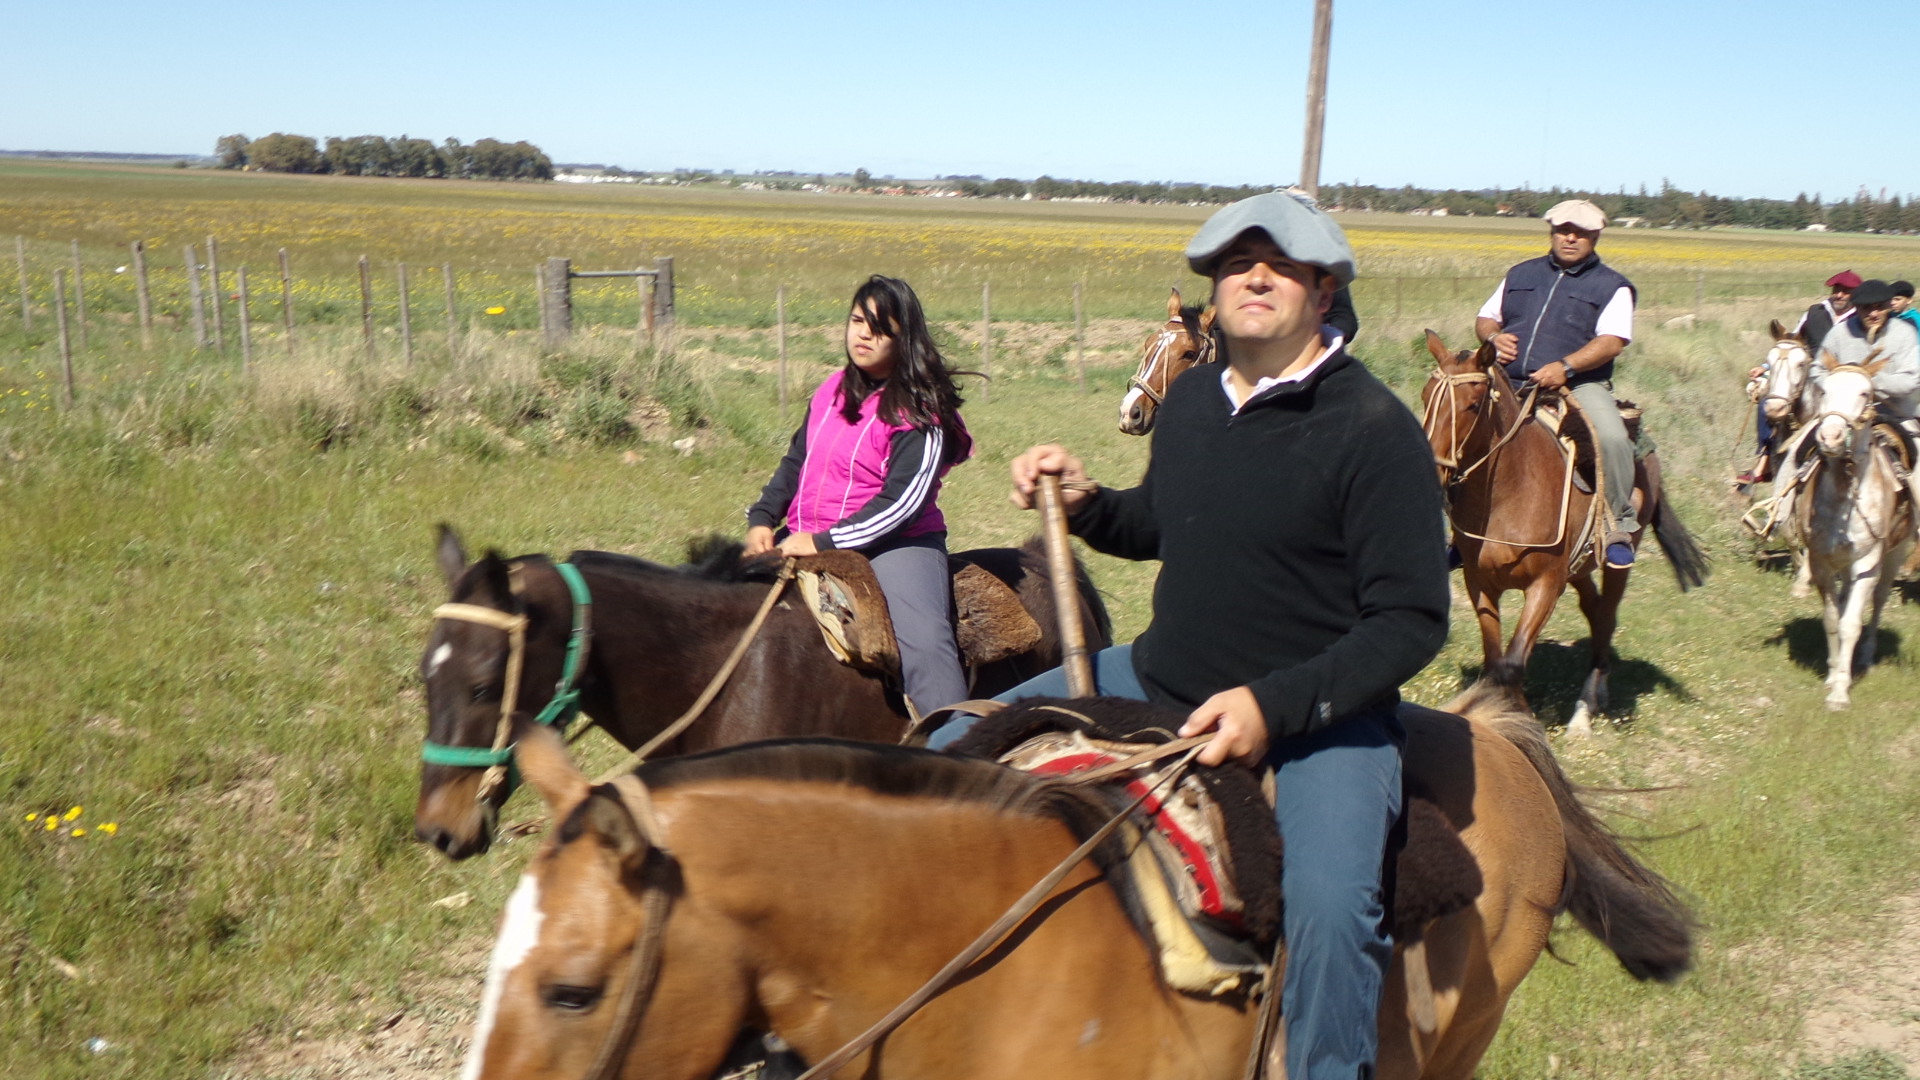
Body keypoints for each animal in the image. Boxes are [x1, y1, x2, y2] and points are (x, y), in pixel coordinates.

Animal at [1420, 332, 1709, 733]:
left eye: (1474, 405)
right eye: (1424, 396)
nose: (1431, 473)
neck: (1511, 492)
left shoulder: (1545, 585)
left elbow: (1512, 663)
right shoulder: (1479, 584)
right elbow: (1495, 663)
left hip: (1617, 561)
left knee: (1607, 616)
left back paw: (1585, 709)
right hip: (1578, 567)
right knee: (1594, 609)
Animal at [1799, 354, 1913, 709]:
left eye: (1865, 393)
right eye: (1823, 390)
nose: (1831, 438)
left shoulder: (1866, 564)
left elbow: (1850, 624)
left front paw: (1840, 691)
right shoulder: (1821, 562)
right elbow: (1832, 619)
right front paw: (1834, 672)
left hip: (1894, 555)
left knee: (1877, 601)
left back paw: (1865, 656)